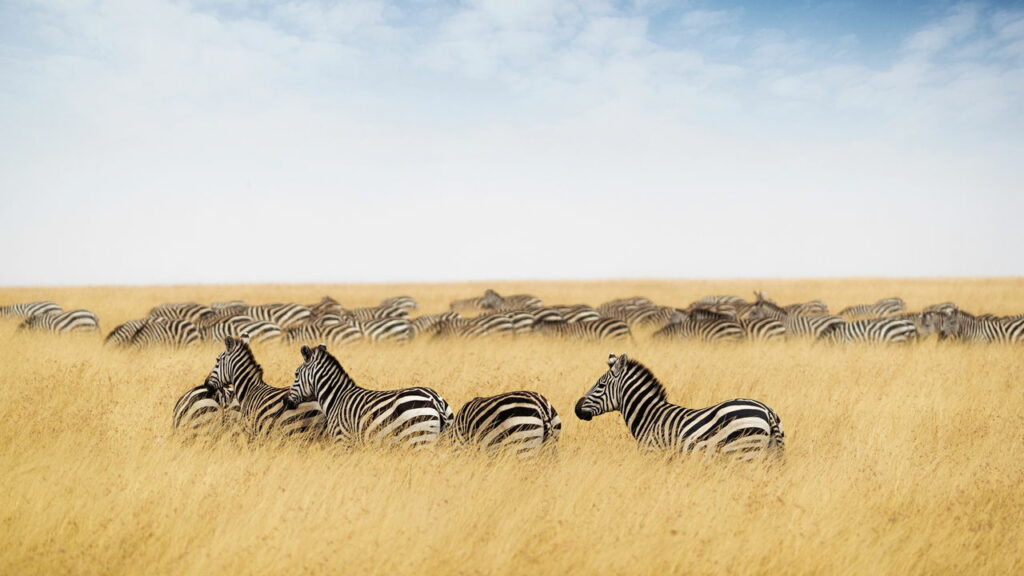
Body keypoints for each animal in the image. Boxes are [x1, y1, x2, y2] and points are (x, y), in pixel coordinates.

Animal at [283, 344, 453, 448]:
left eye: (296, 374)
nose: (286, 401)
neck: (336, 398)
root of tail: (434, 398)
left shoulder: (341, 439)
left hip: (418, 439)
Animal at [575, 354, 784, 462]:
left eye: (600, 385)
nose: (576, 408)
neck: (649, 417)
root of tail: (766, 411)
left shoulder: (653, 454)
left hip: (743, 453)